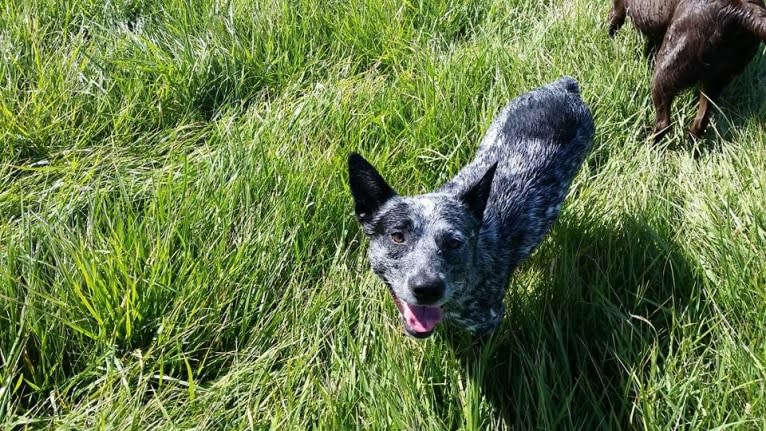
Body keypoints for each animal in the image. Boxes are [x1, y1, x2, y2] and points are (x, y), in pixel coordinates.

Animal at [612, 0, 766, 140]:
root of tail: (741, 10)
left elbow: (614, 21)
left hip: (667, 70)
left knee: (664, 123)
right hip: (715, 80)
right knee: (700, 122)